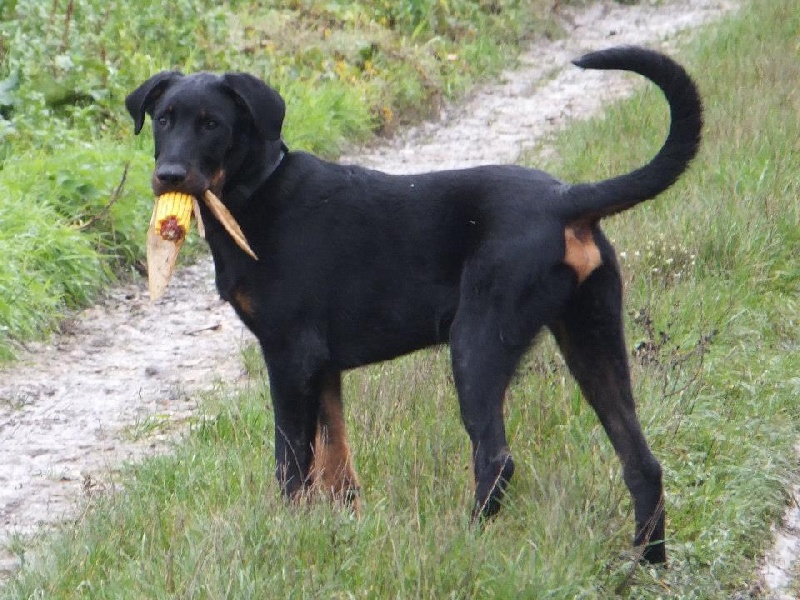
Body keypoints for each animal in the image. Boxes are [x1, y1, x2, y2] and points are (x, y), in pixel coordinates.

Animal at [123, 45, 700, 564]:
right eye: (163, 119)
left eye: (212, 124)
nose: (169, 175)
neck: (257, 194)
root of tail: (567, 200)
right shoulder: (323, 368)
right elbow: (338, 465)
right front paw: (338, 534)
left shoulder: (289, 356)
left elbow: (291, 465)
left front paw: (283, 535)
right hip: (592, 334)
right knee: (641, 461)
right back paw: (648, 565)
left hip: (478, 341)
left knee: (496, 459)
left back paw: (467, 543)